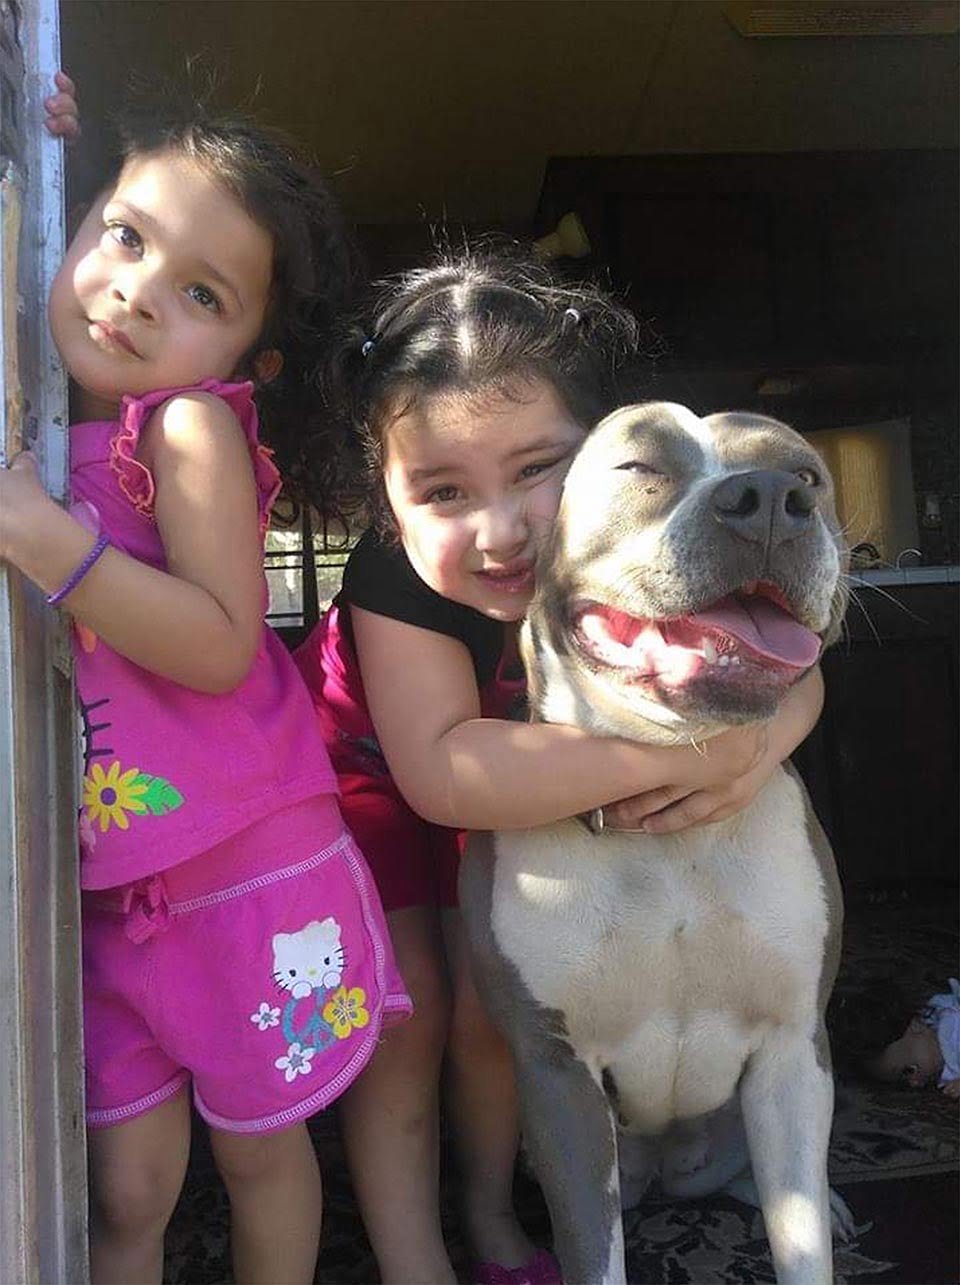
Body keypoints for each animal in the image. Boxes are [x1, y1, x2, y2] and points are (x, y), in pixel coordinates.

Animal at [460, 403, 849, 1285]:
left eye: (806, 473)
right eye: (639, 465)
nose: (770, 498)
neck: (668, 837)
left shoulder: (791, 1051)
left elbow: (800, 1237)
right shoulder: (560, 1074)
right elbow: (593, 1250)